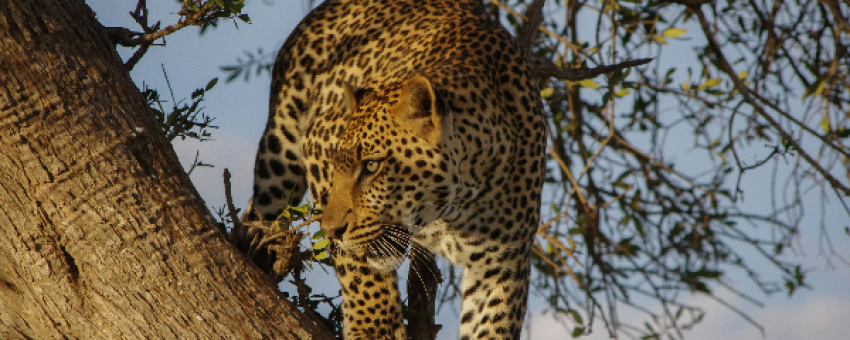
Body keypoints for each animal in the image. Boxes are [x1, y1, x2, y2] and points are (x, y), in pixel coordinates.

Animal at [245, 1, 548, 338]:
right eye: (339, 166)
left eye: (372, 166)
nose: (331, 231)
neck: (456, 206)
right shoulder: (319, 144)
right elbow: (358, 267)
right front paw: (374, 327)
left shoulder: (501, 268)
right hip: (280, 152)